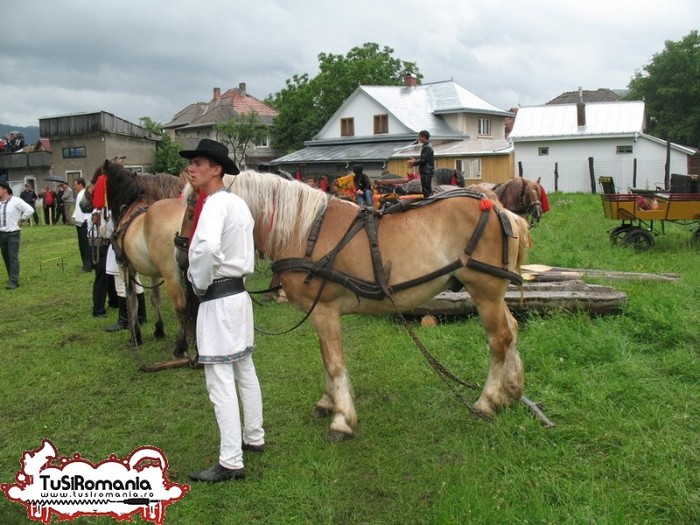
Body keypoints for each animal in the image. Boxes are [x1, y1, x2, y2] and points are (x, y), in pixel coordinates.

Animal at [97, 160, 193, 356]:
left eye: (95, 180)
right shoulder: (154, 272)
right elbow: (155, 298)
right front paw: (159, 329)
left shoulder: (125, 268)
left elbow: (131, 299)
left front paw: (135, 335)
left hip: (171, 274)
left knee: (181, 306)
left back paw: (181, 347)